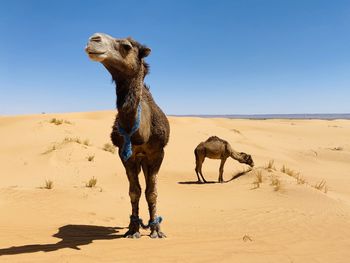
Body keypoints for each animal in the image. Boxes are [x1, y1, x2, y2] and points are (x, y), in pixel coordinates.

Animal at [85, 33, 170, 239]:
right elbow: (134, 192)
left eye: (126, 46)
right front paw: (133, 229)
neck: (140, 133)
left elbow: (152, 192)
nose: (94, 38)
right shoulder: (125, 155)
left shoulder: (158, 153)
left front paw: (156, 230)